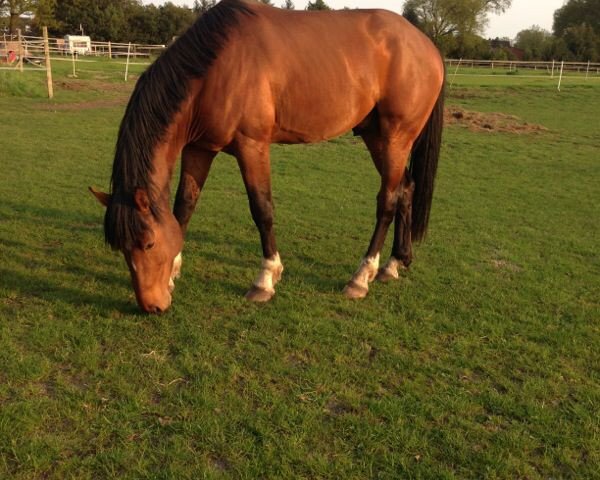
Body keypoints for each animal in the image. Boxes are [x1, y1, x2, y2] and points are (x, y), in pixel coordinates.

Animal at [90, 0, 446, 316]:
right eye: (121, 247)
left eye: (148, 244)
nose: (152, 306)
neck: (216, 67)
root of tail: (426, 45)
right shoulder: (199, 148)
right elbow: (184, 207)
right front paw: (175, 272)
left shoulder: (252, 146)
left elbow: (261, 209)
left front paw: (265, 280)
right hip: (377, 137)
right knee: (406, 189)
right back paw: (394, 263)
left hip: (395, 138)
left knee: (388, 201)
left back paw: (361, 277)